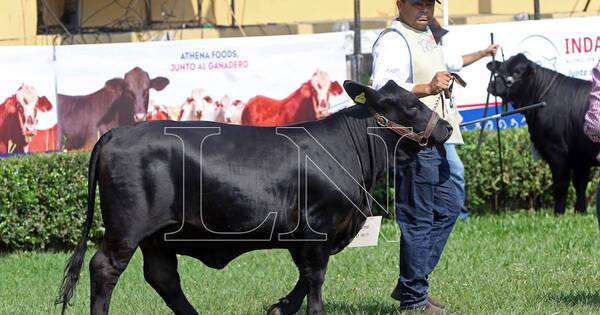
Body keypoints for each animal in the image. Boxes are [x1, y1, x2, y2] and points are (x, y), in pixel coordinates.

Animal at [56, 80, 452, 314]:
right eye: (412, 105)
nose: (447, 127)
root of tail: (117, 133)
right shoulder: (317, 228)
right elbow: (315, 278)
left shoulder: (303, 236)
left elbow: (304, 278)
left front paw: (280, 308)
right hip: (126, 228)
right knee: (104, 268)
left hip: (159, 235)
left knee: (163, 277)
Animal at [488, 53, 596, 215]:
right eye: (499, 70)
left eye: (516, 72)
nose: (492, 85)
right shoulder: (580, 156)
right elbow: (580, 185)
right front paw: (580, 211)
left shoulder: (556, 150)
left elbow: (560, 185)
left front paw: (558, 212)